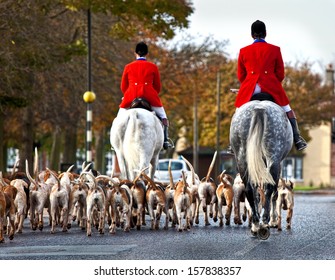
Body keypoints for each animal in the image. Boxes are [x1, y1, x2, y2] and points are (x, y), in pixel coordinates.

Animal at [231, 99, 294, 240]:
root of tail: (259, 108)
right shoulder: (279, 164)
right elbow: (273, 193)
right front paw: (273, 221)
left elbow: (257, 193)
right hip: (273, 156)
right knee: (270, 189)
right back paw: (264, 223)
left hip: (242, 157)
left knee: (250, 189)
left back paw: (255, 225)